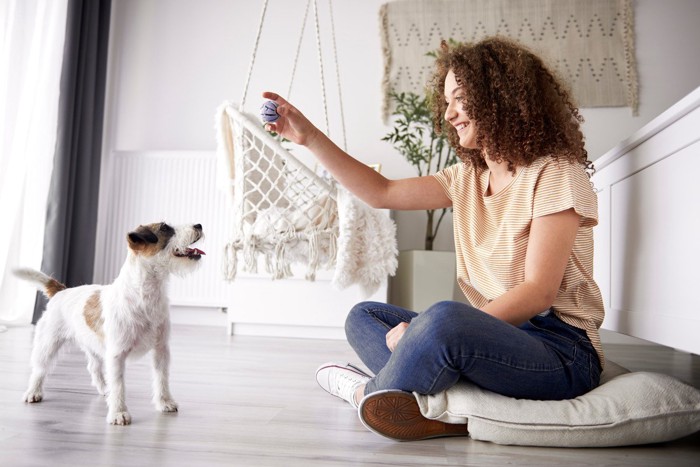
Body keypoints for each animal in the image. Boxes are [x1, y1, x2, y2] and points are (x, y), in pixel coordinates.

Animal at [13, 224, 205, 428]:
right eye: (165, 228)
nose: (199, 225)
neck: (145, 295)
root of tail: (61, 291)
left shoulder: (161, 350)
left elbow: (162, 378)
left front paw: (164, 402)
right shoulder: (117, 354)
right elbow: (119, 384)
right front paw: (118, 412)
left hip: (93, 345)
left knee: (94, 367)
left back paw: (105, 389)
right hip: (49, 342)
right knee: (40, 368)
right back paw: (33, 392)